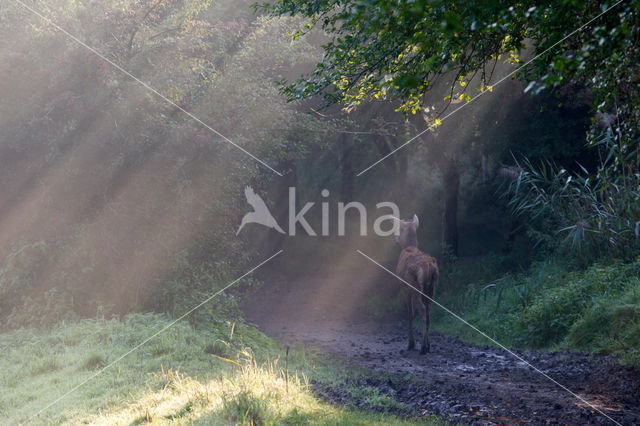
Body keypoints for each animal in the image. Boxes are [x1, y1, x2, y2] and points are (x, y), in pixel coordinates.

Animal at [392, 215, 438, 354]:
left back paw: (422, 347)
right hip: (432, 288)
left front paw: (411, 344)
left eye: (400, 229)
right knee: (428, 311)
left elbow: (410, 314)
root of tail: (428, 267)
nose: (395, 239)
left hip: (416, 286)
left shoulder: (406, 287)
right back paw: (428, 345)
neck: (409, 246)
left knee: (423, 309)